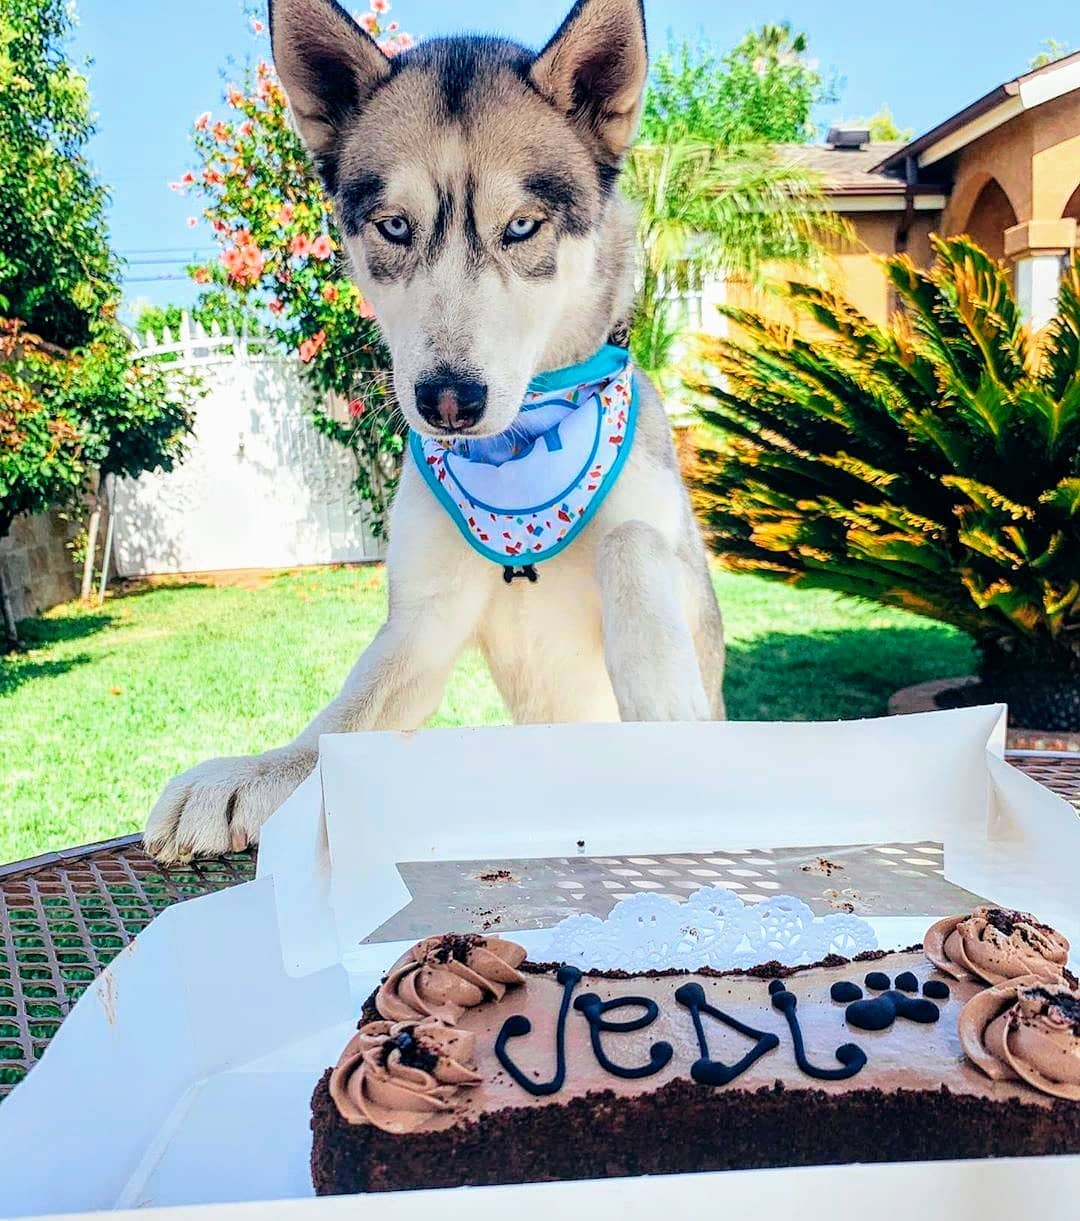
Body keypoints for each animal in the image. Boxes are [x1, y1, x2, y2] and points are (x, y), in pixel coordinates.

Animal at [139, 0, 722, 864]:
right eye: (393, 225)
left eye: (522, 226)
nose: (449, 400)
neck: (521, 455)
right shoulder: (422, 627)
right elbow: (341, 721)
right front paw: (254, 772)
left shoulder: (677, 577)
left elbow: (628, 545)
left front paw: (669, 735)